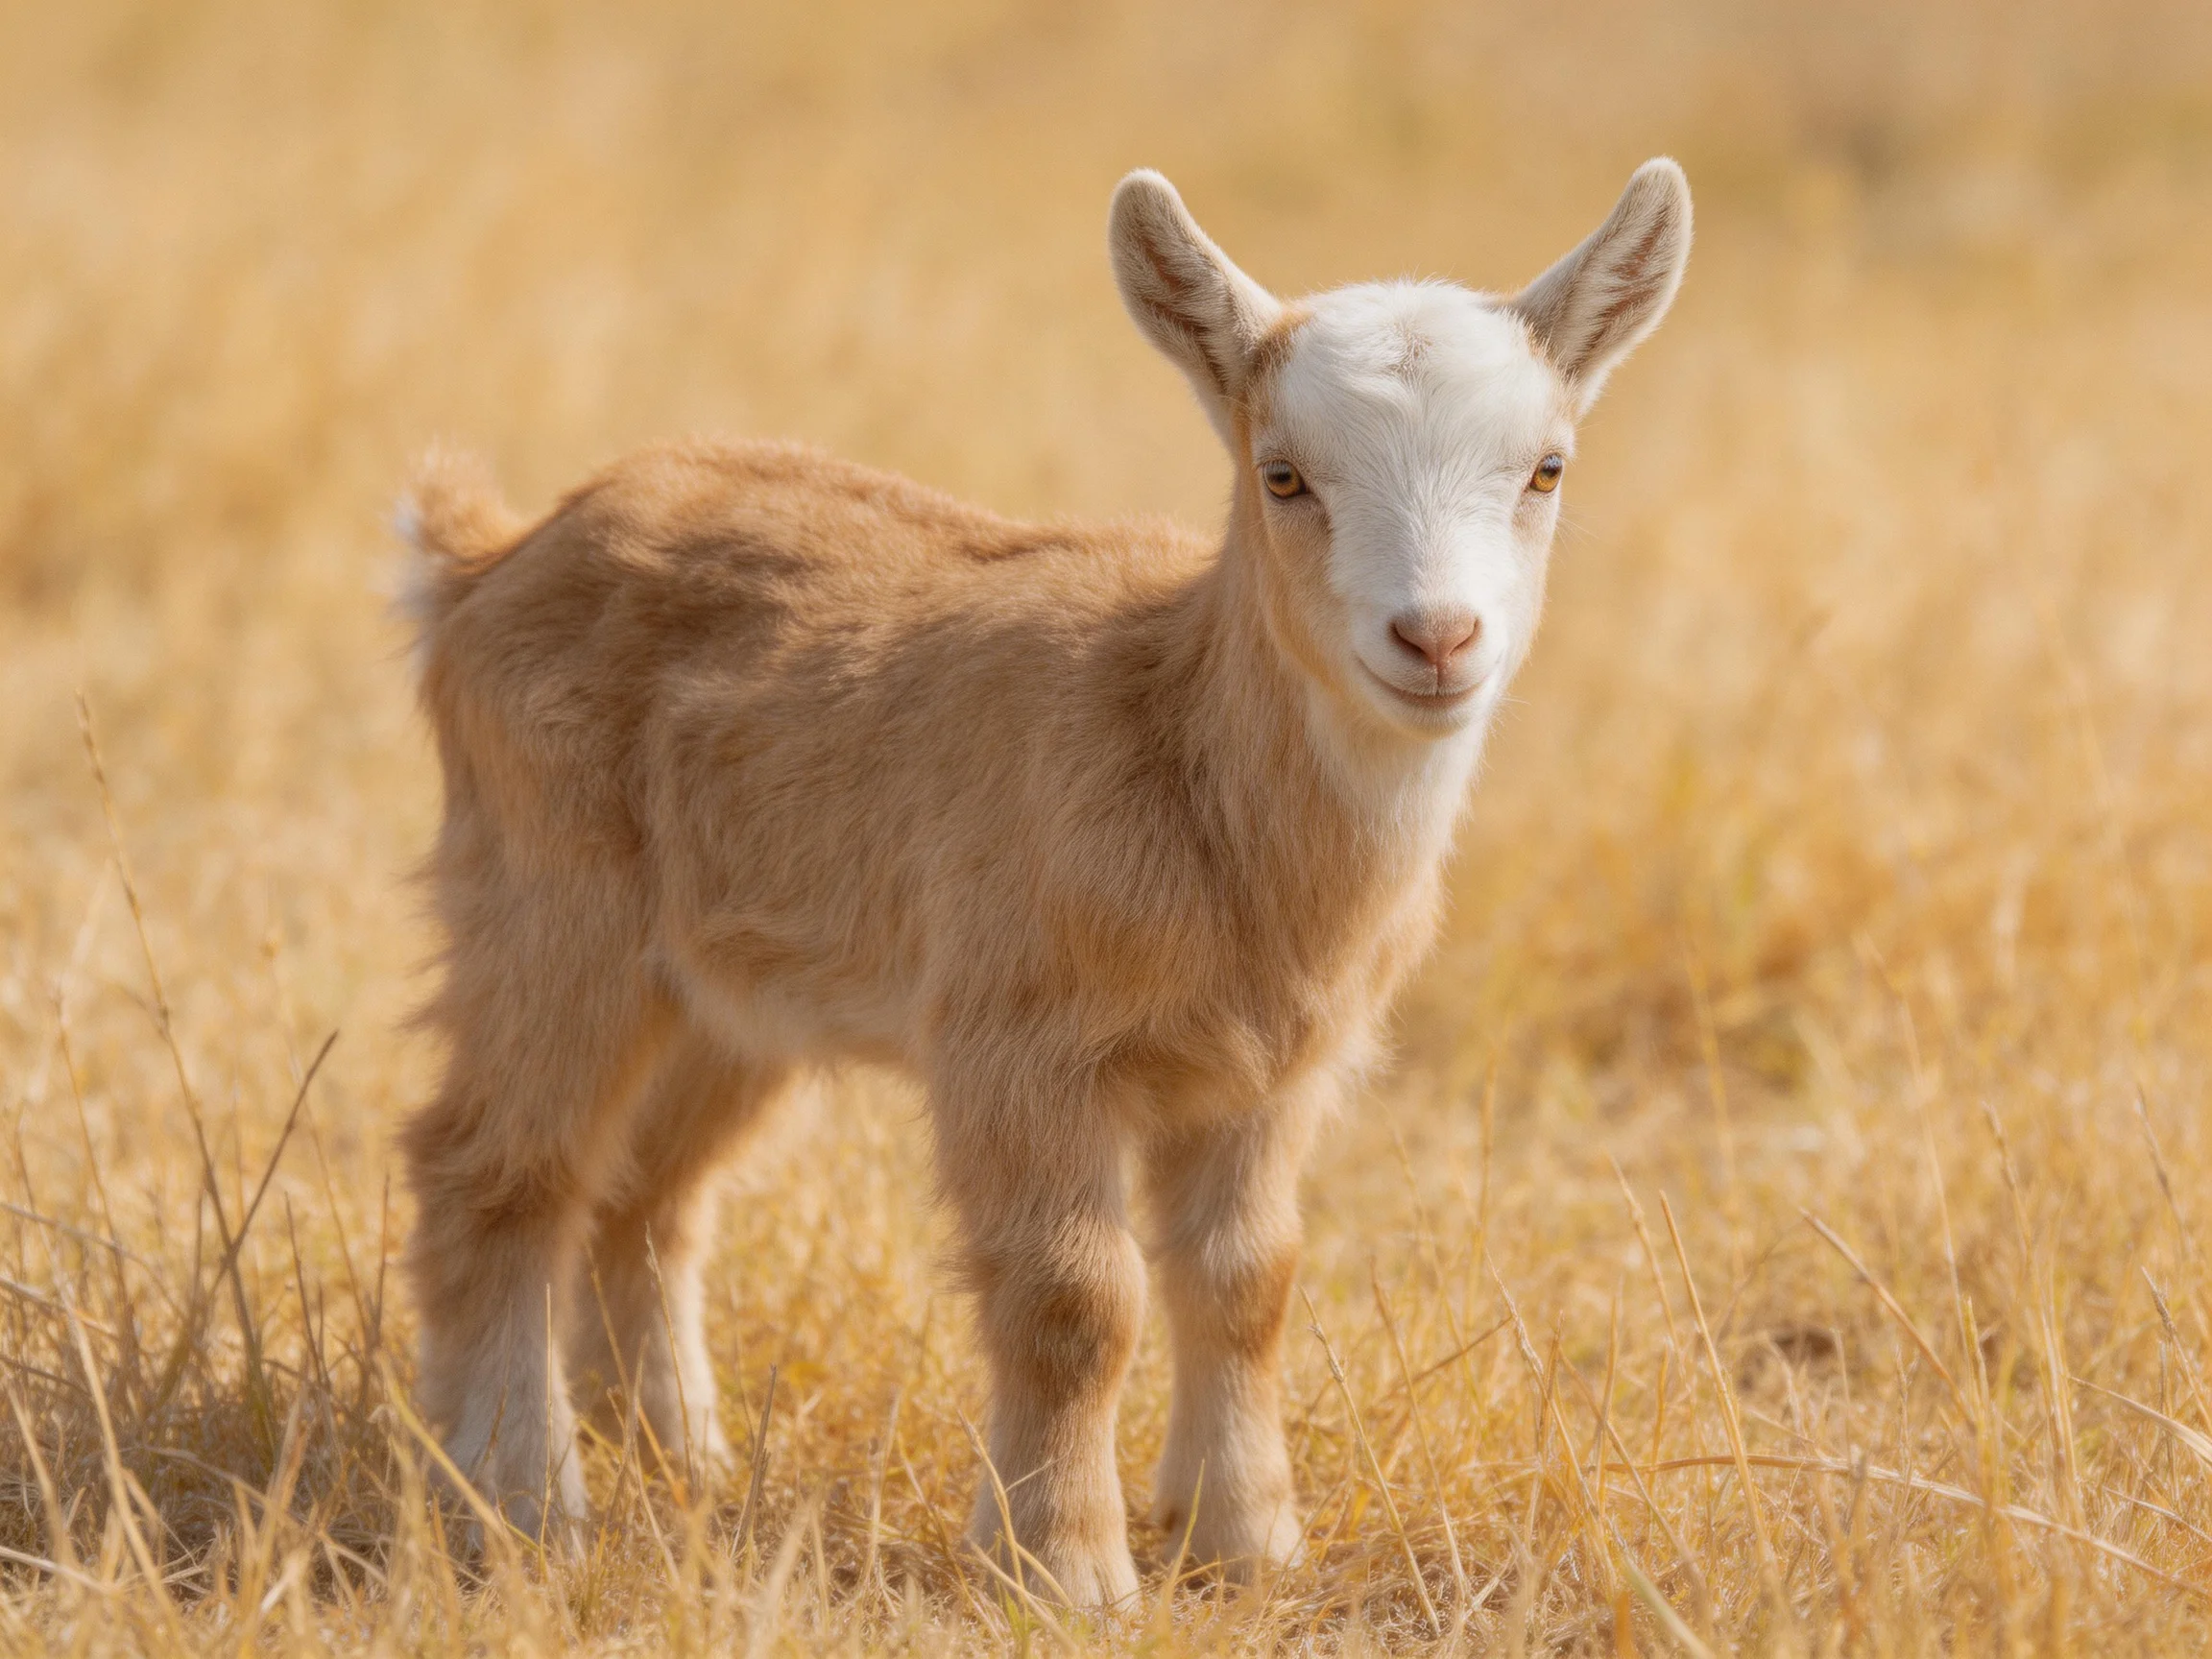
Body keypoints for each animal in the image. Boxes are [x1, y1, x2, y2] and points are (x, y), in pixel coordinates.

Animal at [397, 159, 1690, 1603]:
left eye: (1547, 467)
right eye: (1284, 474)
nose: (1437, 637)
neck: (1181, 746)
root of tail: (482, 562)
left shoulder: (1267, 1071)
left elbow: (1248, 1280)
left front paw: (1244, 1546)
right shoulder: (1018, 1044)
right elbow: (1079, 1296)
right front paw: (1065, 1568)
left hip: (730, 986)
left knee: (646, 1193)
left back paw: (677, 1466)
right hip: (550, 900)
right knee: (494, 1169)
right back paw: (520, 1502)